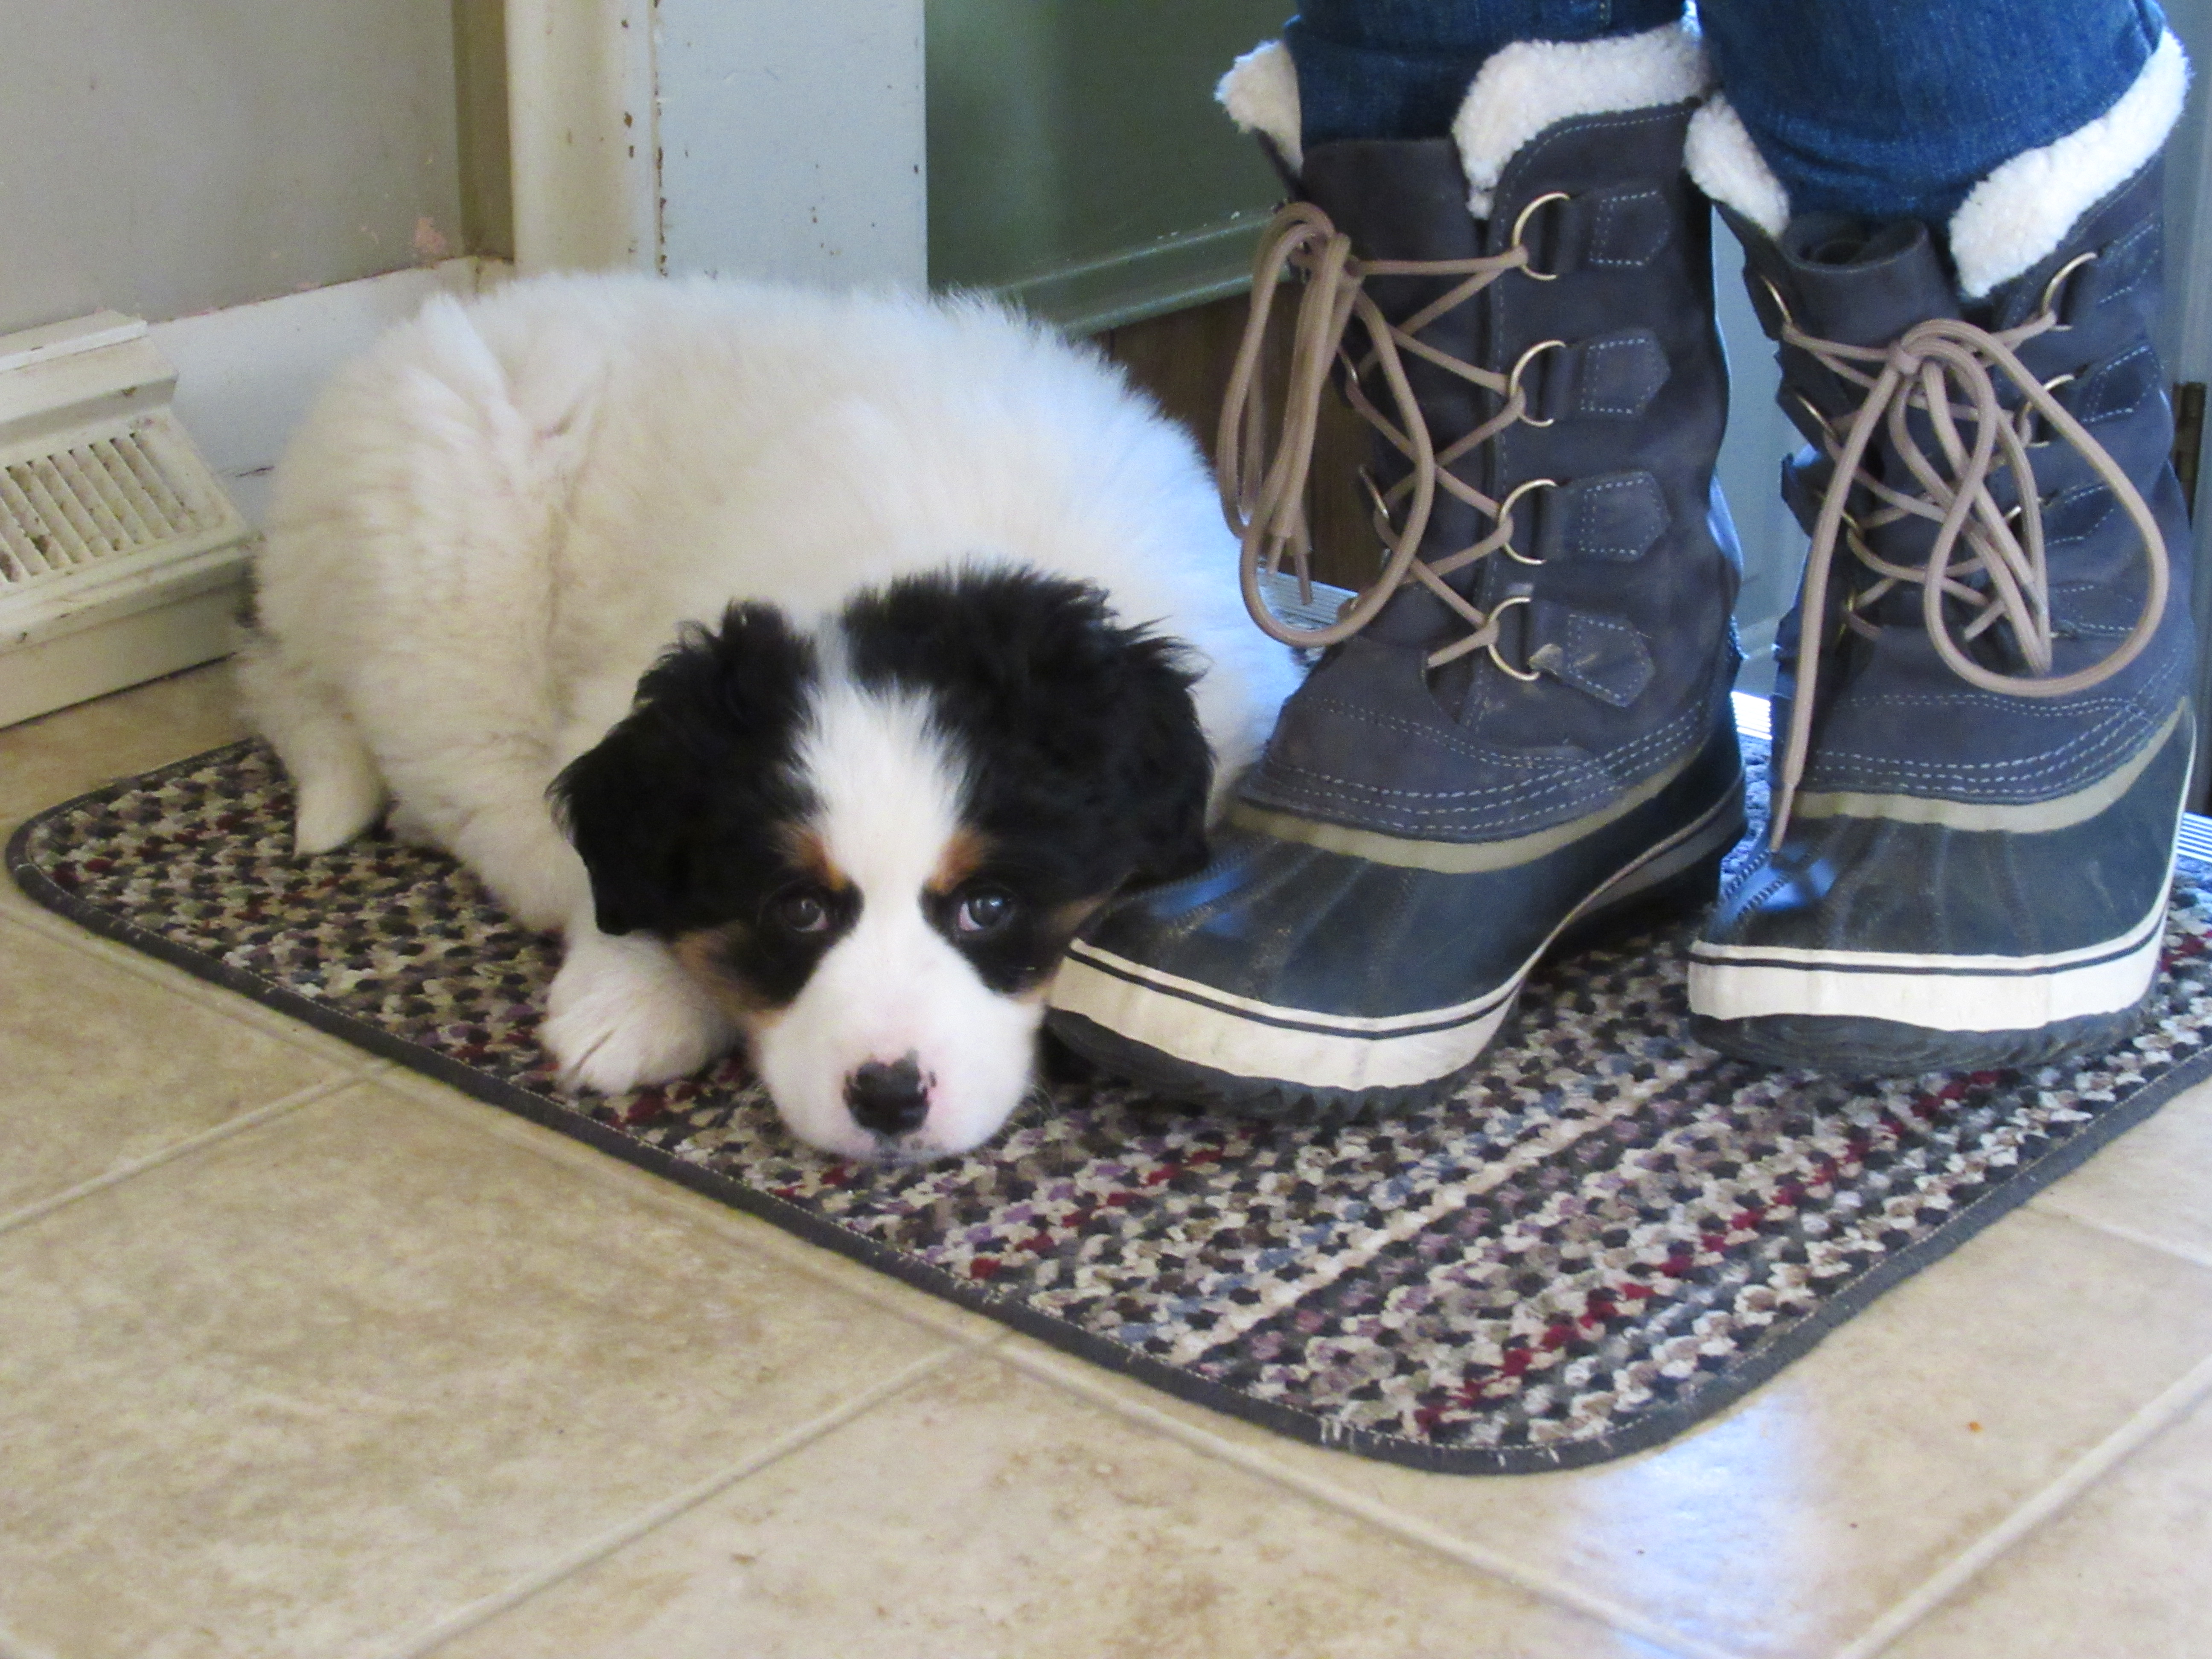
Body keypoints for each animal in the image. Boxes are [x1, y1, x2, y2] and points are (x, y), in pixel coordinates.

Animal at [238, 273, 1295, 1160]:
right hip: (443, 553)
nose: (887, 1098)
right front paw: (636, 1002)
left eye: (989, 907)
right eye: (798, 909)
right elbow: (613, 876)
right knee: (467, 761)